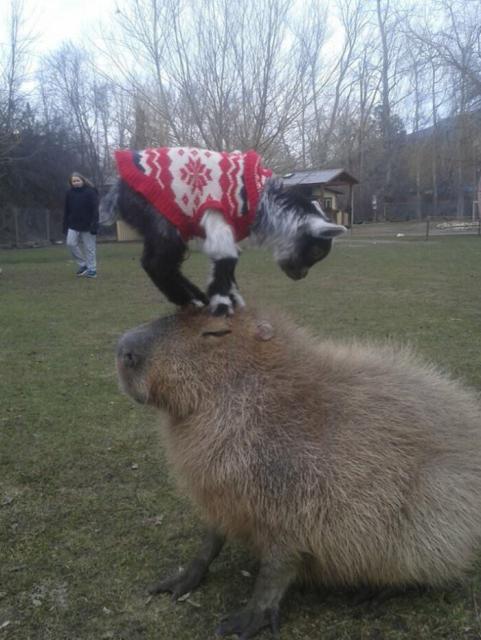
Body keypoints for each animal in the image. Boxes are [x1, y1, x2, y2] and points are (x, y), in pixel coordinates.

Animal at [100, 147, 346, 315]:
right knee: (155, 263)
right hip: (162, 220)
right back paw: (189, 300)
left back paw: (197, 296)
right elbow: (225, 256)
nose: (301, 276)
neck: (264, 198)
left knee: (168, 264)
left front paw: (231, 296)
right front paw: (222, 303)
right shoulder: (217, 215)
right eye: (316, 251)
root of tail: (118, 189)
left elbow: (230, 259)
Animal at [116, 307, 481, 638]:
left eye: (215, 332)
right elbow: (211, 538)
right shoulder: (221, 496)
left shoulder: (297, 502)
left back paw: (378, 590)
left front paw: (247, 619)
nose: (123, 349)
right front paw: (181, 579)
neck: (261, 396)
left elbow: (277, 568)